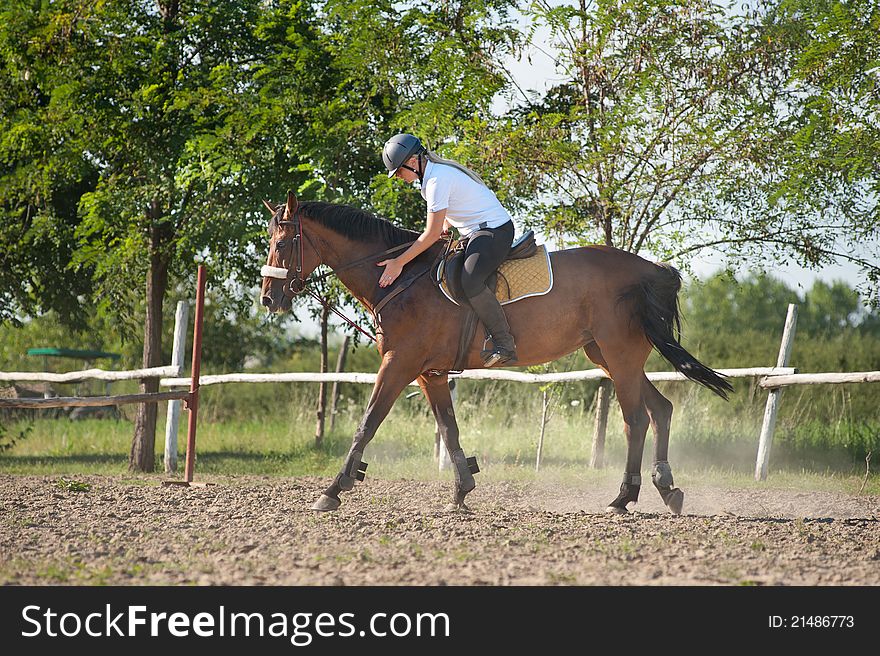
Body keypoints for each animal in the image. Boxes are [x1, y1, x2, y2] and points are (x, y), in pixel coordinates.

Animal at [262, 192, 736, 516]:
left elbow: (367, 424)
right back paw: (666, 488)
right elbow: (449, 431)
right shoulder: (430, 374)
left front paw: (333, 489)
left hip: (618, 357)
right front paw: (461, 491)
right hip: (608, 356)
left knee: (635, 419)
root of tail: (648, 268)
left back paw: (624, 497)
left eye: (282, 245)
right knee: (660, 409)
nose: (269, 299)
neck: (401, 278)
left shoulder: (398, 364)